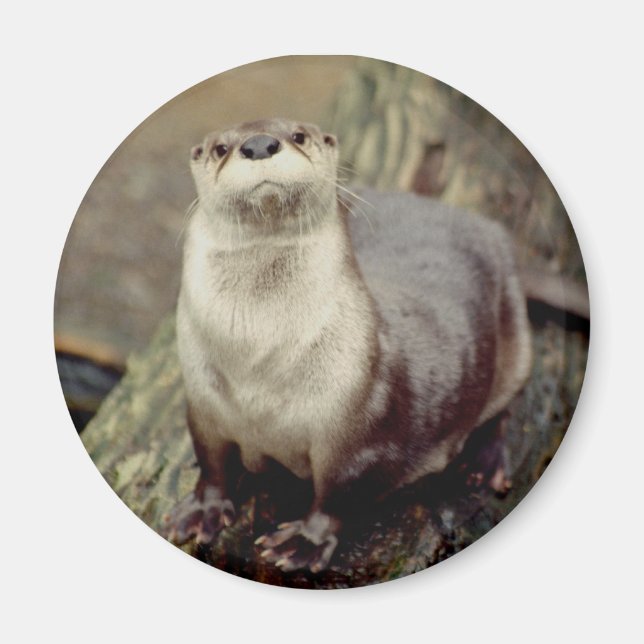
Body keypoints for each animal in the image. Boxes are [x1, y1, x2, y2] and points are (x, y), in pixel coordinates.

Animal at [161, 117, 533, 573]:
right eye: (220, 149)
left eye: (298, 136)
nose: (259, 144)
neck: (257, 368)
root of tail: (488, 227)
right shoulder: (203, 402)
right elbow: (212, 462)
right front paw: (203, 510)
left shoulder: (362, 428)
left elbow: (340, 493)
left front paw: (303, 541)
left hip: (516, 338)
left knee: (504, 410)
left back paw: (484, 465)